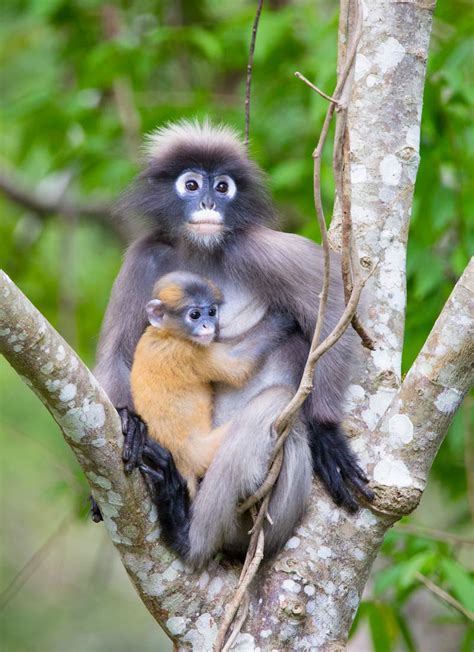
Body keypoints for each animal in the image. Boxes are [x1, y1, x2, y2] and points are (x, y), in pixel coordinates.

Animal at [130, 272, 288, 496]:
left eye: (212, 312)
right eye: (195, 315)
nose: (208, 325)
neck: (164, 334)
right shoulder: (188, 352)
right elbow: (237, 366)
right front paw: (283, 318)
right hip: (206, 450)